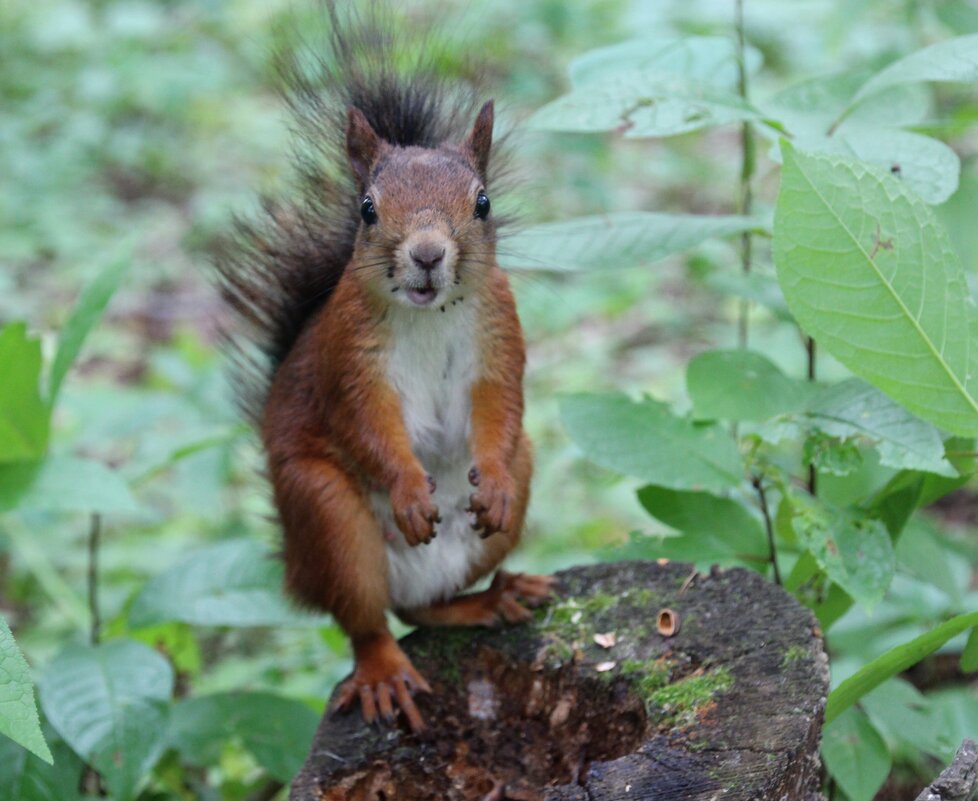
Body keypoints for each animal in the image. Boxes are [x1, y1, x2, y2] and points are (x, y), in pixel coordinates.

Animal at [214, 6, 548, 732]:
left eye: (482, 202)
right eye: (367, 208)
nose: (426, 253)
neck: (427, 314)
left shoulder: (499, 338)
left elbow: (502, 405)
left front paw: (493, 484)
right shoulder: (349, 359)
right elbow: (366, 423)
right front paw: (408, 490)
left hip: (503, 506)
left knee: (422, 608)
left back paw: (492, 596)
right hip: (329, 519)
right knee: (367, 621)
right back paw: (383, 673)